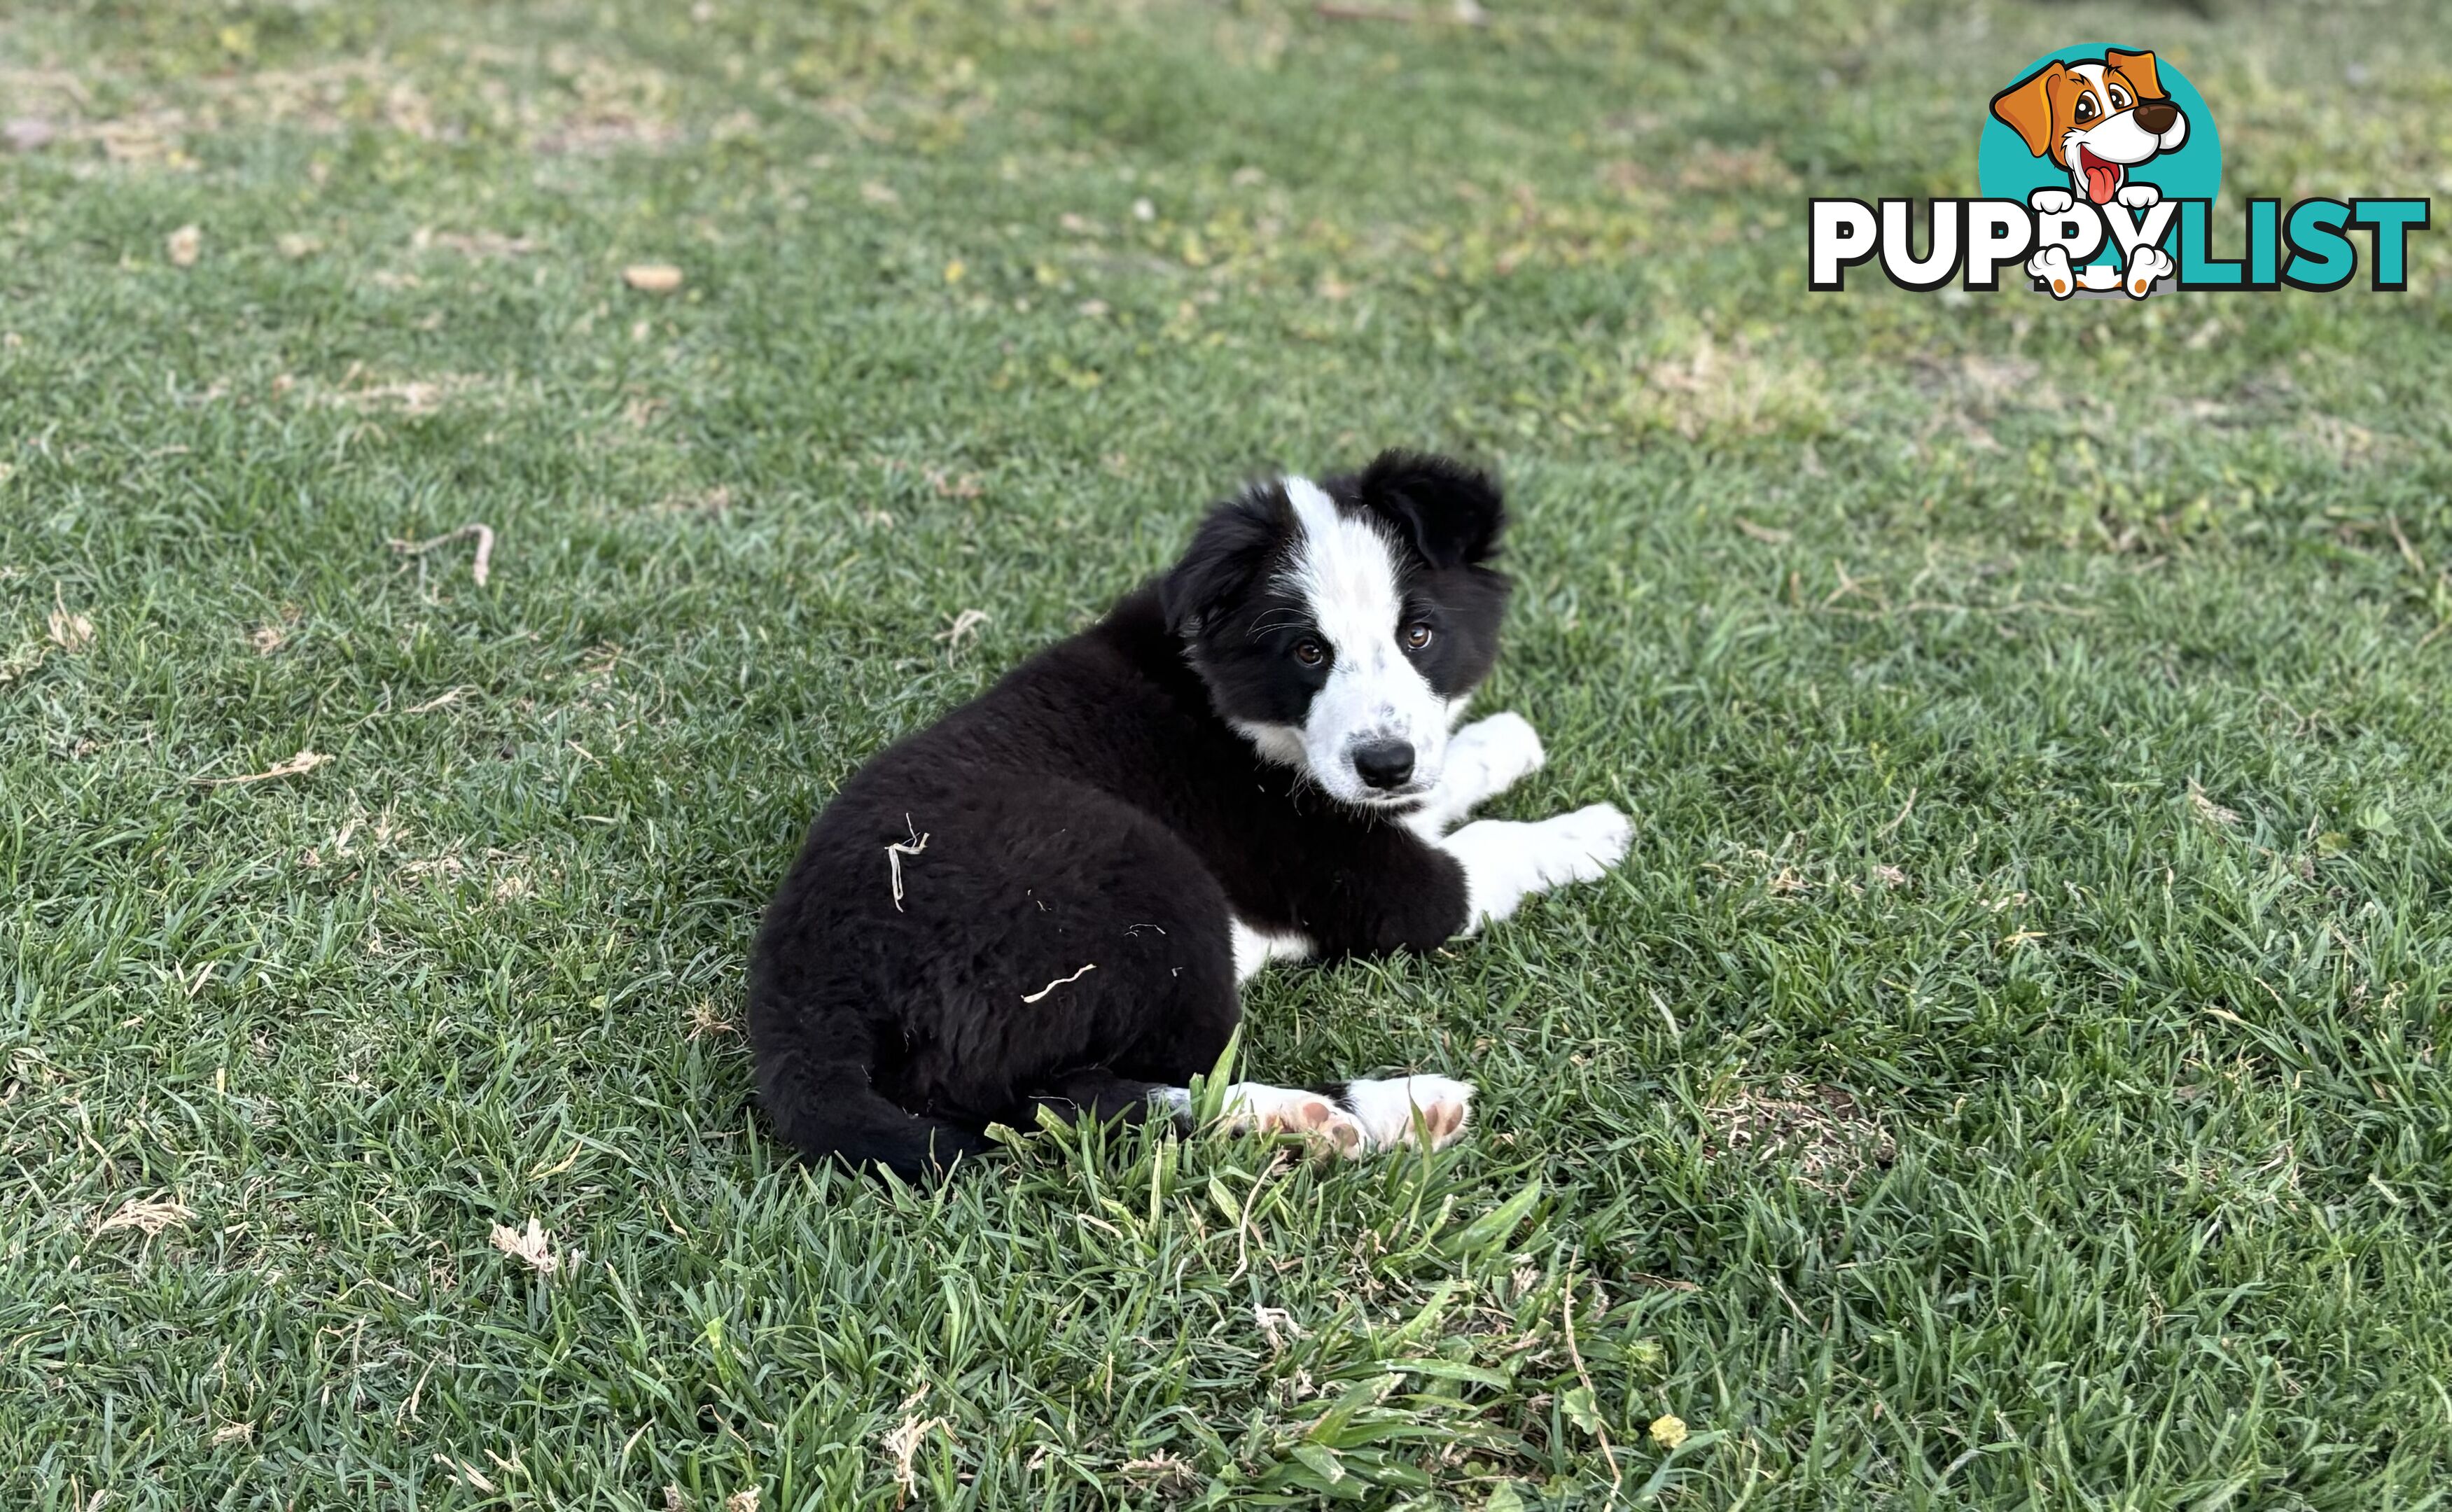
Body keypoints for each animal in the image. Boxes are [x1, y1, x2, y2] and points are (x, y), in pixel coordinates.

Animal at [745, 448, 1628, 1181]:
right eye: (1307, 652)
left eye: (1419, 635)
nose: (1385, 763)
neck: (1233, 703)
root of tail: (804, 995)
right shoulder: (1381, 885)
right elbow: (1490, 845)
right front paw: (1595, 831)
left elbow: (1442, 783)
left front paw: (1502, 741)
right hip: (1150, 882)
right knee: (1131, 1094)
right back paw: (1361, 1111)